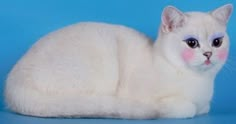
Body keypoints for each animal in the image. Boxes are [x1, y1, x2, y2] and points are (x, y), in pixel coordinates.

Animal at [4, 4, 233, 118]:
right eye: (192, 43)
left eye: (217, 42)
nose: (208, 54)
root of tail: (13, 84)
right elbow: (189, 109)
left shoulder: (205, 105)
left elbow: (204, 109)